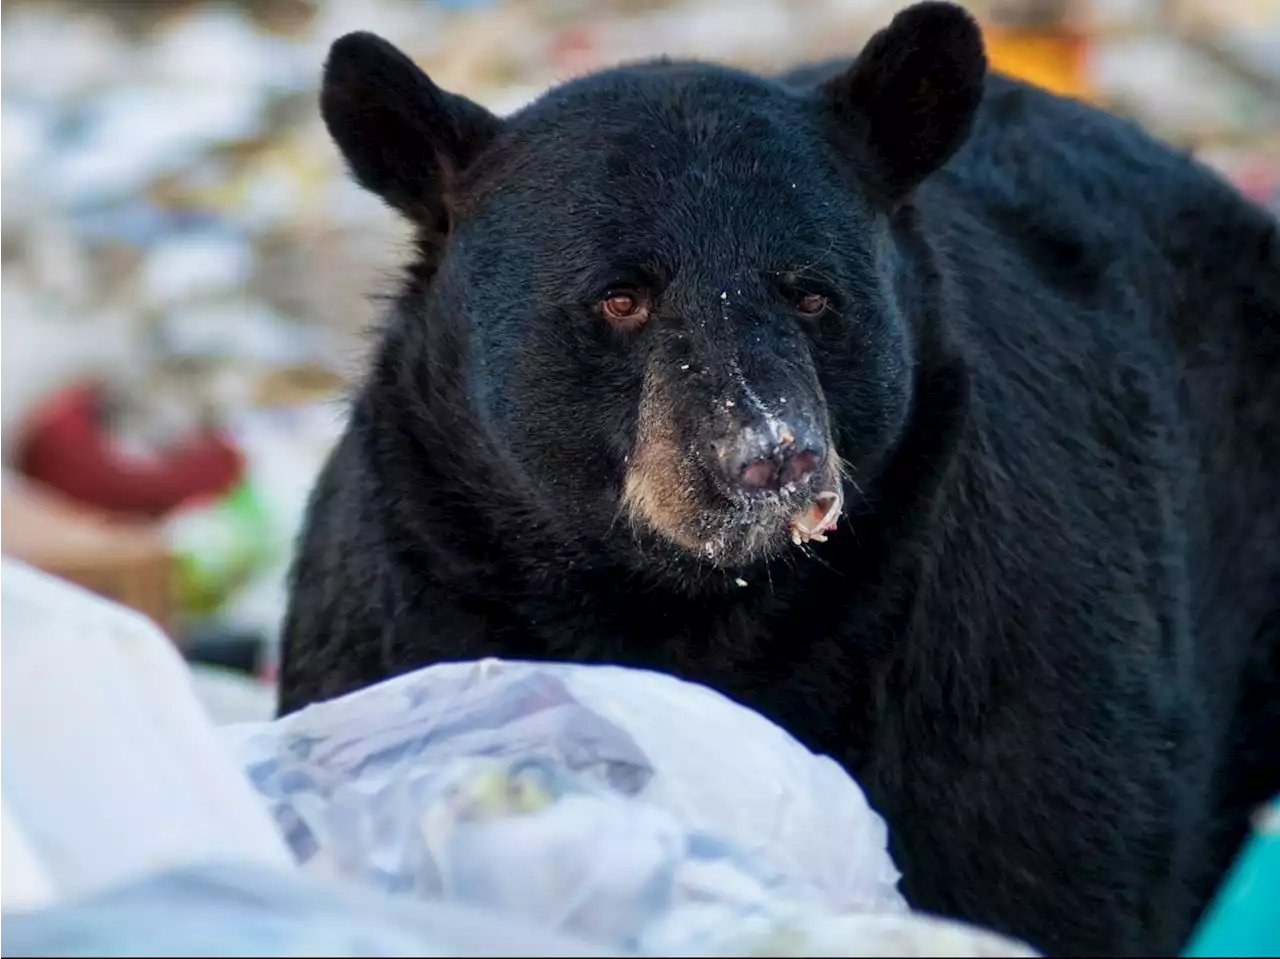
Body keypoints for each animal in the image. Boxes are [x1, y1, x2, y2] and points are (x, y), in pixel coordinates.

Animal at [280, 3, 1280, 952]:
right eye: (620, 297)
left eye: (812, 292)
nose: (770, 455)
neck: (696, 611)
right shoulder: (405, 606)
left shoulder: (1006, 673)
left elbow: (1045, 861)